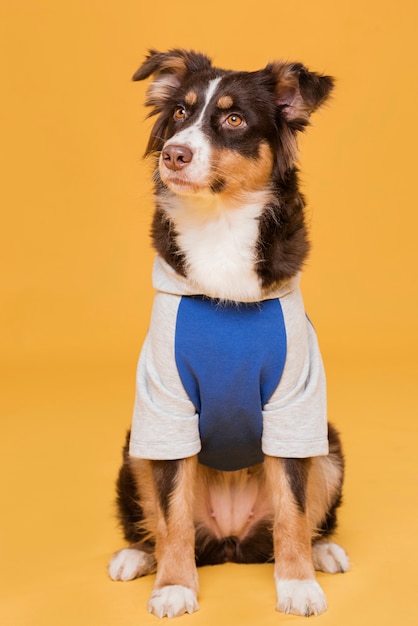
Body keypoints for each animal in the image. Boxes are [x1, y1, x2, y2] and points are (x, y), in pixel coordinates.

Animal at [108, 48, 350, 616]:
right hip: (134, 448)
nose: (173, 154)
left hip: (328, 445)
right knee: (157, 523)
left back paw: (322, 551)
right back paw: (137, 556)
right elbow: (171, 513)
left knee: (300, 518)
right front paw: (175, 585)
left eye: (234, 119)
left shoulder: (293, 403)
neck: (218, 226)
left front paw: (297, 582)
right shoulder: (166, 406)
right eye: (180, 112)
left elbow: (293, 508)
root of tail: (232, 538)